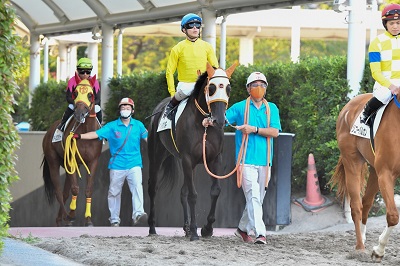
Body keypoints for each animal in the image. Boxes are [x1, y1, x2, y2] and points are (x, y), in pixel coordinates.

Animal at [41, 77, 101, 227]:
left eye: (90, 95)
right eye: (75, 93)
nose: (79, 114)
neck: (85, 133)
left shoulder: (93, 162)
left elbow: (88, 190)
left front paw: (88, 220)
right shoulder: (72, 161)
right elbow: (75, 188)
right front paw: (72, 215)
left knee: (64, 193)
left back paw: (61, 219)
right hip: (53, 162)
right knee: (58, 191)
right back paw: (65, 217)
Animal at [148, 62, 238, 241]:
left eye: (228, 88)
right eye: (212, 88)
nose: (219, 119)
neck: (203, 123)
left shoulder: (214, 159)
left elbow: (215, 191)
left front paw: (207, 229)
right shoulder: (188, 159)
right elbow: (193, 195)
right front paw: (196, 231)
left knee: (182, 192)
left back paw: (186, 228)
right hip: (156, 156)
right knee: (153, 187)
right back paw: (153, 228)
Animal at [330, 93, 398, 262]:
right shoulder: (386, 174)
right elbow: (393, 216)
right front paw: (378, 251)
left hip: (374, 170)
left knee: (366, 203)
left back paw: (362, 236)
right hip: (352, 162)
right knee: (356, 206)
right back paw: (360, 247)